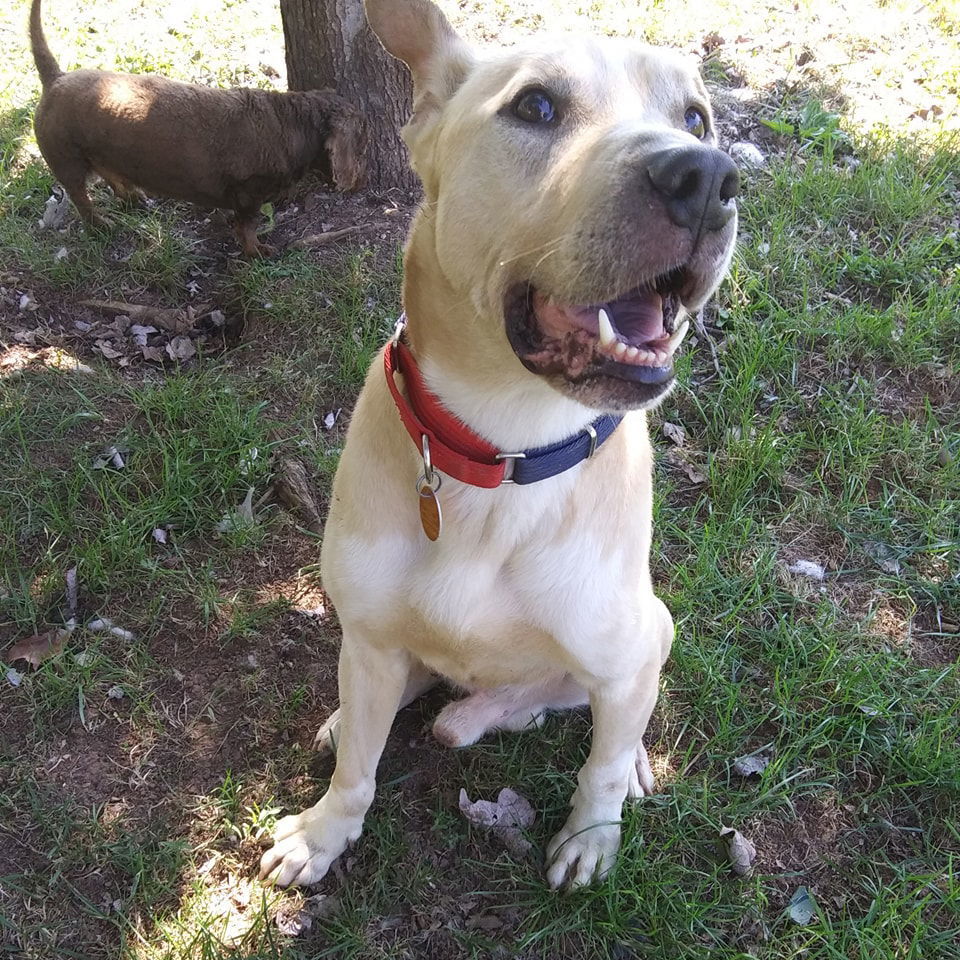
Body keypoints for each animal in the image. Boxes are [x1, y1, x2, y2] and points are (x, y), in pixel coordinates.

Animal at [30, 0, 362, 255]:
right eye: (360, 130)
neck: (292, 122)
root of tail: (56, 79)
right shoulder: (248, 195)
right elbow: (247, 227)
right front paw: (257, 252)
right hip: (67, 161)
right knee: (80, 197)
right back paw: (101, 224)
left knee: (112, 177)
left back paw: (134, 197)